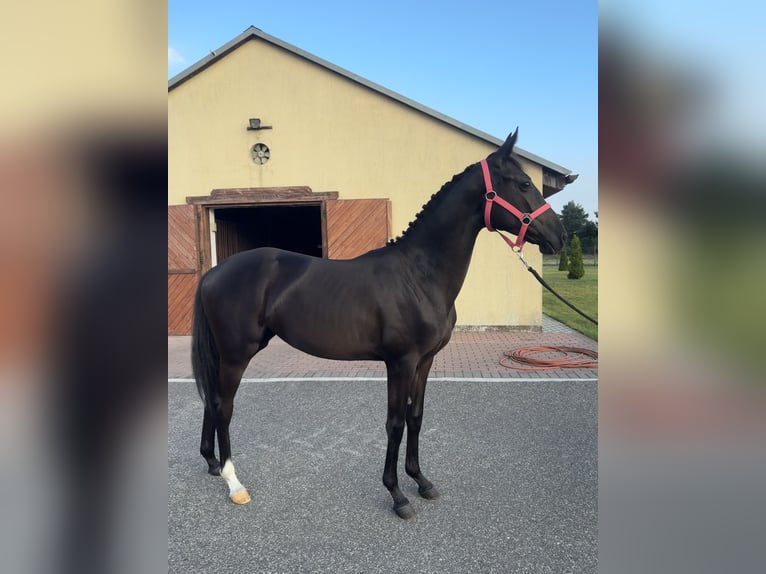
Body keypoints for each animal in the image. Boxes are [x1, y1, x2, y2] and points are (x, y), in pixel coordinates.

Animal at [191, 129, 566, 519]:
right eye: (523, 184)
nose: (561, 236)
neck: (419, 273)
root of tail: (214, 273)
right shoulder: (400, 362)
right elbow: (395, 424)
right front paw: (397, 495)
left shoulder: (425, 361)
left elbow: (416, 417)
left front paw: (422, 481)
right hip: (237, 354)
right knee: (223, 407)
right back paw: (234, 483)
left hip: (227, 353)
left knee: (212, 401)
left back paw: (212, 463)